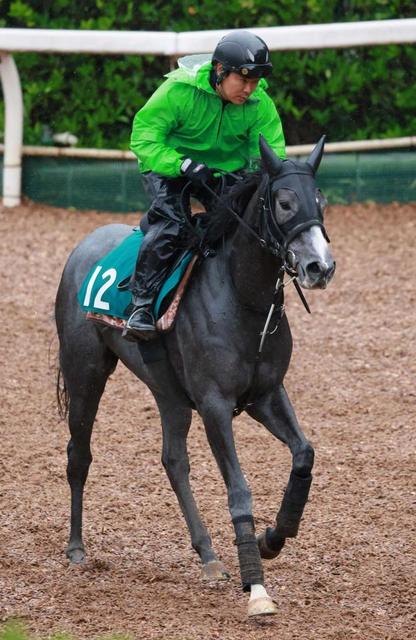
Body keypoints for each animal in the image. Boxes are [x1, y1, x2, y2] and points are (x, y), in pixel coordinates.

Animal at [55, 136, 335, 618]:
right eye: (284, 203)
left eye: (319, 200)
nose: (320, 266)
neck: (242, 298)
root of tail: (85, 244)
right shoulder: (215, 404)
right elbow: (239, 490)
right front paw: (256, 588)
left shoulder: (266, 394)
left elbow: (304, 455)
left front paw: (272, 538)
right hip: (85, 373)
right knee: (79, 454)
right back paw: (76, 547)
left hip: (168, 393)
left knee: (174, 461)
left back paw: (208, 555)